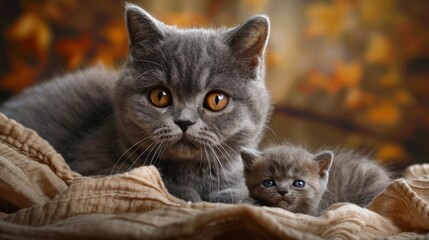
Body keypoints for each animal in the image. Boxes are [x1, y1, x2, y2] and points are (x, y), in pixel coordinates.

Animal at [0, 3, 270, 202]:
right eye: (160, 96)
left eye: (216, 100)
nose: (184, 122)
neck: (194, 174)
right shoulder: (89, 167)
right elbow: (149, 178)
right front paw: (188, 194)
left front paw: (235, 195)